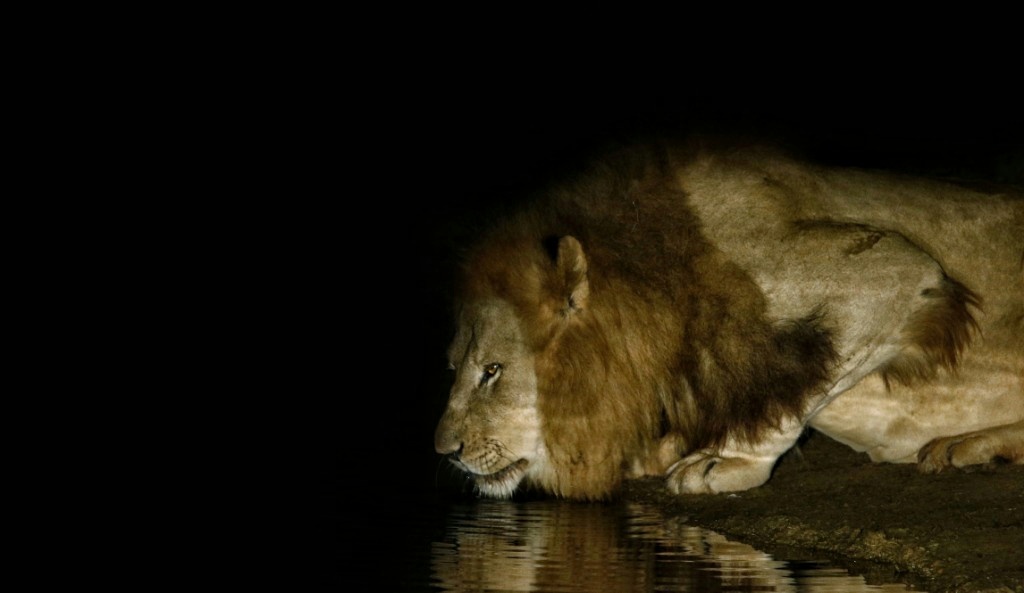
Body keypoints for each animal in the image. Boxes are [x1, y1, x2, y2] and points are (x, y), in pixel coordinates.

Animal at [433, 138, 1024, 500]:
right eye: (455, 369)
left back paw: (968, 444)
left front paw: (724, 460)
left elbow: (789, 386)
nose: (446, 453)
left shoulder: (895, 272)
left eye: (492, 372)